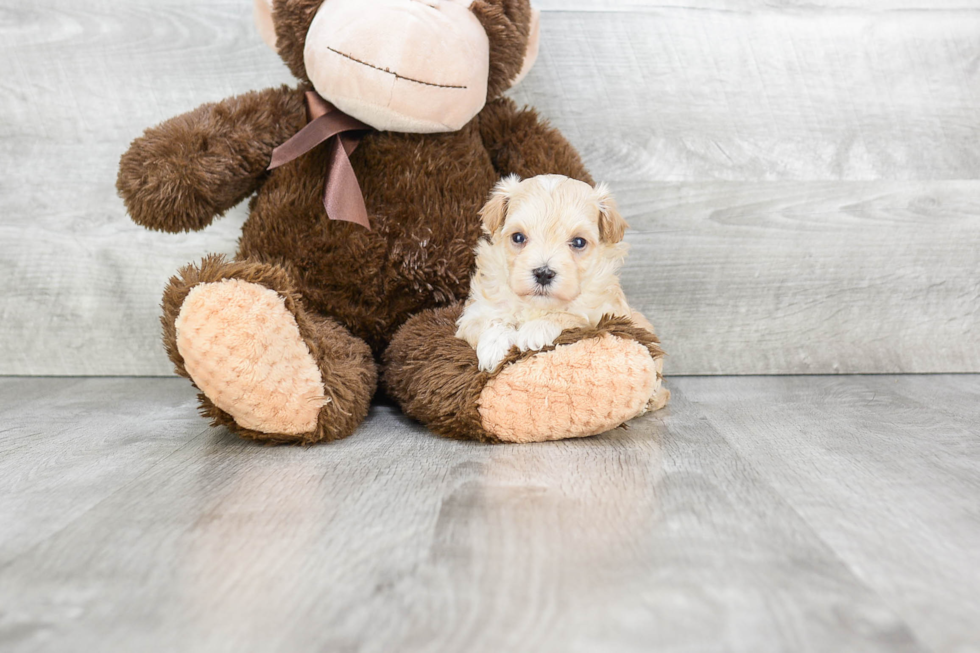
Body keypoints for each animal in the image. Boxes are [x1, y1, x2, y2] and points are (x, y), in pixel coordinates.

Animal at [456, 173, 632, 372]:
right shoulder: (473, 314)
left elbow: (570, 315)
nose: (543, 274)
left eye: (579, 242)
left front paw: (535, 330)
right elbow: (492, 319)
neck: (536, 305)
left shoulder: (605, 315)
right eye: (518, 237)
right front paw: (494, 345)